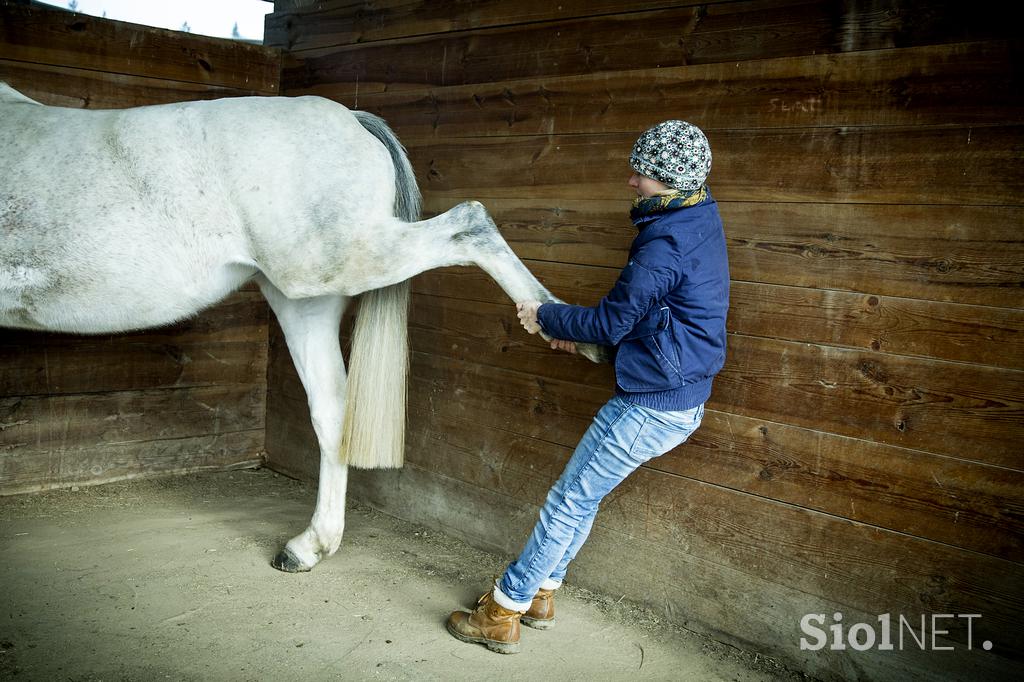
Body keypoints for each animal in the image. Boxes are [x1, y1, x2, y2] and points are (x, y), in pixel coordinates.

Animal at [0, 83, 606, 573]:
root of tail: (350, 119)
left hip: (333, 261)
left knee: (470, 223)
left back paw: (573, 331)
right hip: (305, 302)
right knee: (333, 414)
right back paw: (309, 546)